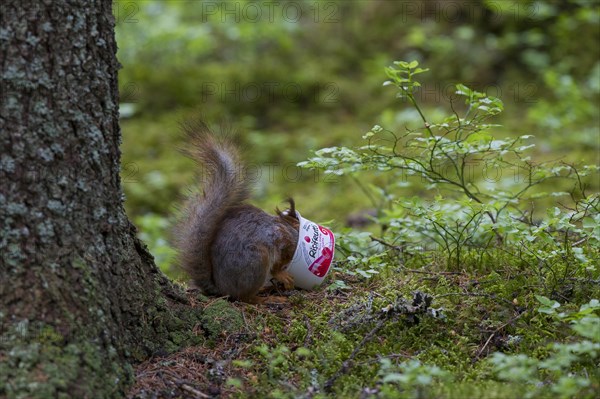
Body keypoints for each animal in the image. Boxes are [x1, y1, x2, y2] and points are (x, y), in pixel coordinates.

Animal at [172, 120, 298, 304]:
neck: (288, 228)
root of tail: (222, 289)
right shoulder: (281, 240)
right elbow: (276, 266)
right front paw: (283, 275)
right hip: (257, 261)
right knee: (246, 297)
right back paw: (267, 298)